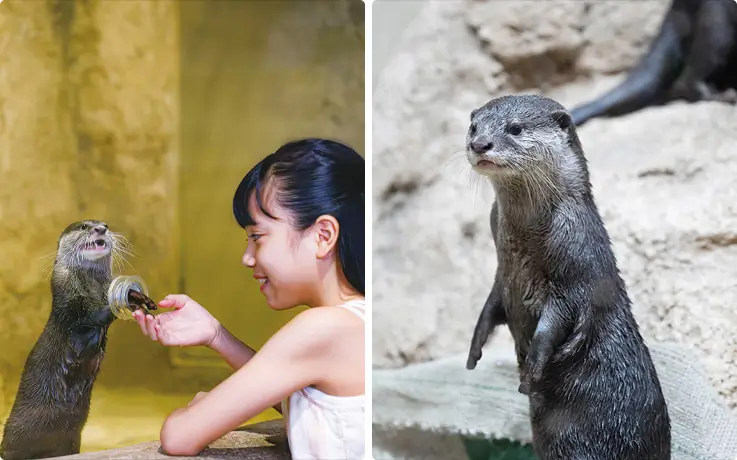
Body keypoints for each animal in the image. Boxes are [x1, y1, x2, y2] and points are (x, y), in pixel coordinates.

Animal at [0, 220, 157, 460]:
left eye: (104, 224)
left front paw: (140, 298)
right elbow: (94, 315)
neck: (91, 287)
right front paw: (127, 300)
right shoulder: (72, 306)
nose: (101, 228)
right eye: (84, 227)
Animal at [463, 95, 671, 460]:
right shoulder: (502, 275)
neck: (526, 234)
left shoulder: (574, 269)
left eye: (515, 128)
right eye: (474, 127)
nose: (479, 144)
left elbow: (556, 321)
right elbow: (491, 304)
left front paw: (532, 371)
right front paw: (475, 349)